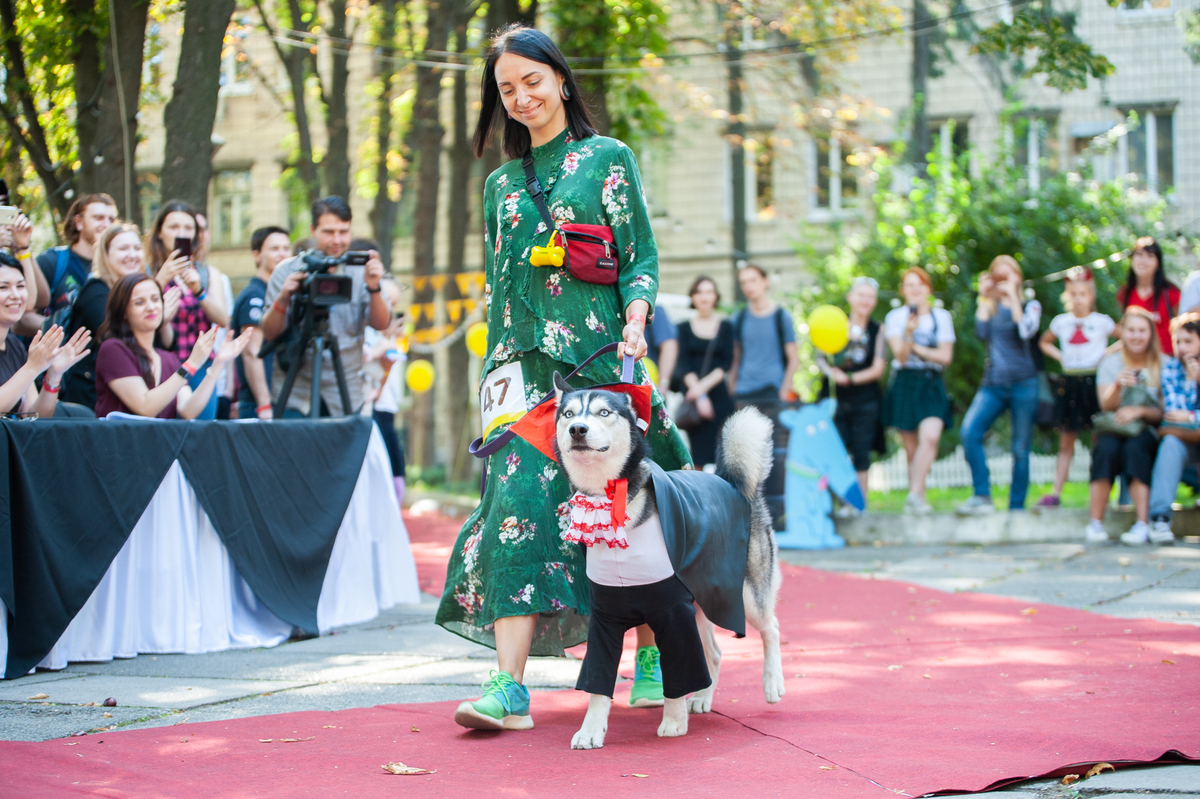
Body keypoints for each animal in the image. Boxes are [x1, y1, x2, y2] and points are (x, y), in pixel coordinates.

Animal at [554, 374, 787, 748]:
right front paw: (590, 730)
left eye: (604, 412)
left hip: (745, 594)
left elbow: (680, 667)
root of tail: (732, 481)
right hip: (703, 599)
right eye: (568, 414)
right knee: (715, 653)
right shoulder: (605, 617)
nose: (578, 429)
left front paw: (674, 721)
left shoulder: (673, 611)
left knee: (771, 627)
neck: (611, 498)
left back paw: (772, 683)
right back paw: (704, 698)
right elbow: (598, 682)